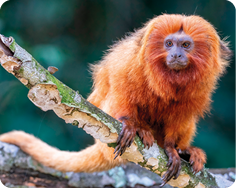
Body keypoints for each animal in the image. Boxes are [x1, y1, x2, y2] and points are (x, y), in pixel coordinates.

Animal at [0, 14, 231, 185]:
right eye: (168, 43)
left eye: (185, 45)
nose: (175, 55)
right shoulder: (129, 62)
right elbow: (119, 88)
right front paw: (129, 125)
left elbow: (182, 115)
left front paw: (172, 148)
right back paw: (141, 130)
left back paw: (186, 151)